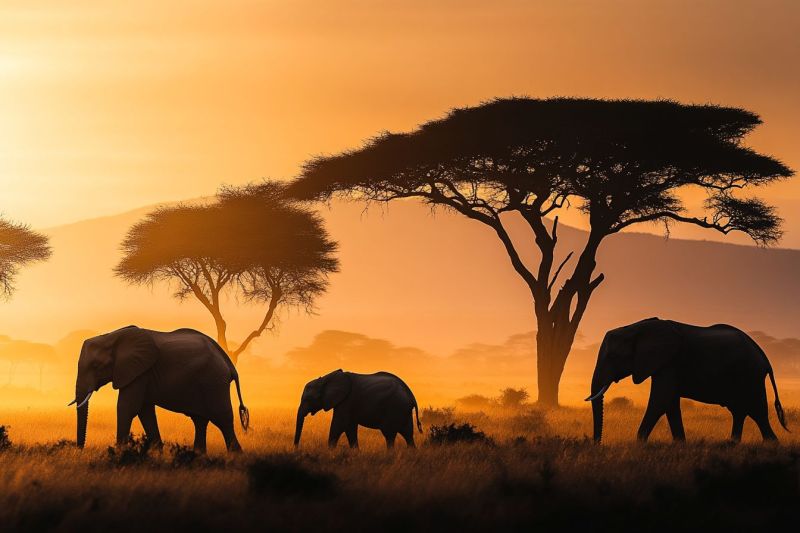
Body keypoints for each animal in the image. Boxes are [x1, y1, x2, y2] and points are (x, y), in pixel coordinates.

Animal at [71, 324, 250, 454]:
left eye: (96, 365)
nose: (79, 450)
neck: (111, 337)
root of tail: (228, 362)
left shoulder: (139, 372)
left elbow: (127, 407)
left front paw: (118, 452)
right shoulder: (142, 373)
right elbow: (145, 411)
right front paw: (158, 453)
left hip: (214, 381)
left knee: (222, 418)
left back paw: (235, 455)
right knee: (200, 420)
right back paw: (198, 456)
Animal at [296, 370, 424, 448]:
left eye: (308, 399)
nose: (296, 449)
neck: (325, 379)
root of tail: (411, 396)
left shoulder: (346, 401)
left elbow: (338, 426)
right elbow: (350, 428)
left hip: (395, 408)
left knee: (390, 435)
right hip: (404, 411)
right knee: (408, 435)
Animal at [588, 318, 788, 442]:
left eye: (613, 356)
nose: (597, 444)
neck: (637, 327)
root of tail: (765, 358)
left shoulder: (669, 362)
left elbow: (660, 401)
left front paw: (639, 444)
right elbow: (669, 404)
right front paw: (680, 445)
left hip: (750, 377)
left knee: (757, 413)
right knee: (741, 411)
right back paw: (733, 444)